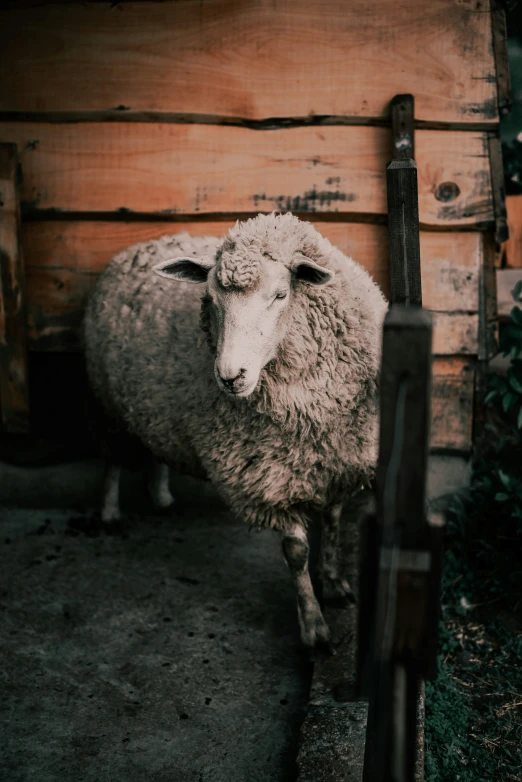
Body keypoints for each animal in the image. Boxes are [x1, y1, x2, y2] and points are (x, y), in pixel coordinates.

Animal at [84, 213, 386, 648]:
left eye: (281, 295)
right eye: (210, 300)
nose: (230, 376)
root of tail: (135, 247)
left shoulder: (337, 460)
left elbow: (332, 523)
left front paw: (333, 584)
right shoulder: (265, 479)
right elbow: (296, 551)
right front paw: (313, 625)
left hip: (153, 406)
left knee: (155, 447)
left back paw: (161, 496)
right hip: (108, 403)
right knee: (112, 458)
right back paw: (109, 513)